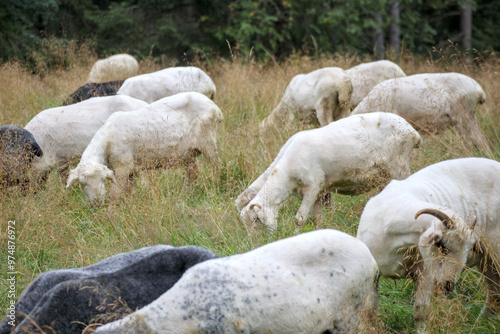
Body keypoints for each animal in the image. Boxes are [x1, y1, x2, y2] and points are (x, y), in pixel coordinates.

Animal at [66, 92, 223, 206]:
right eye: (82, 184)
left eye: (102, 180)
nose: (97, 203)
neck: (107, 140)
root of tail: (215, 107)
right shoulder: (130, 170)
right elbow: (127, 192)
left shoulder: (122, 167)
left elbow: (115, 194)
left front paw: (111, 214)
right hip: (187, 152)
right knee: (193, 173)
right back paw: (183, 196)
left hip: (208, 141)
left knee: (216, 168)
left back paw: (215, 189)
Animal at [238, 112, 422, 232]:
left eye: (256, 220)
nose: (257, 244)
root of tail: (413, 132)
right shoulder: (319, 193)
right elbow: (316, 219)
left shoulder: (312, 188)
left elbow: (299, 219)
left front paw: (294, 235)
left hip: (399, 167)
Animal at [356, 158, 500, 332]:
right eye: (442, 246)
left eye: (467, 252)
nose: (447, 286)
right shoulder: (372, 273)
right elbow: (368, 311)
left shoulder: (425, 273)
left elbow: (421, 311)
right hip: (489, 261)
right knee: (495, 293)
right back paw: (480, 325)